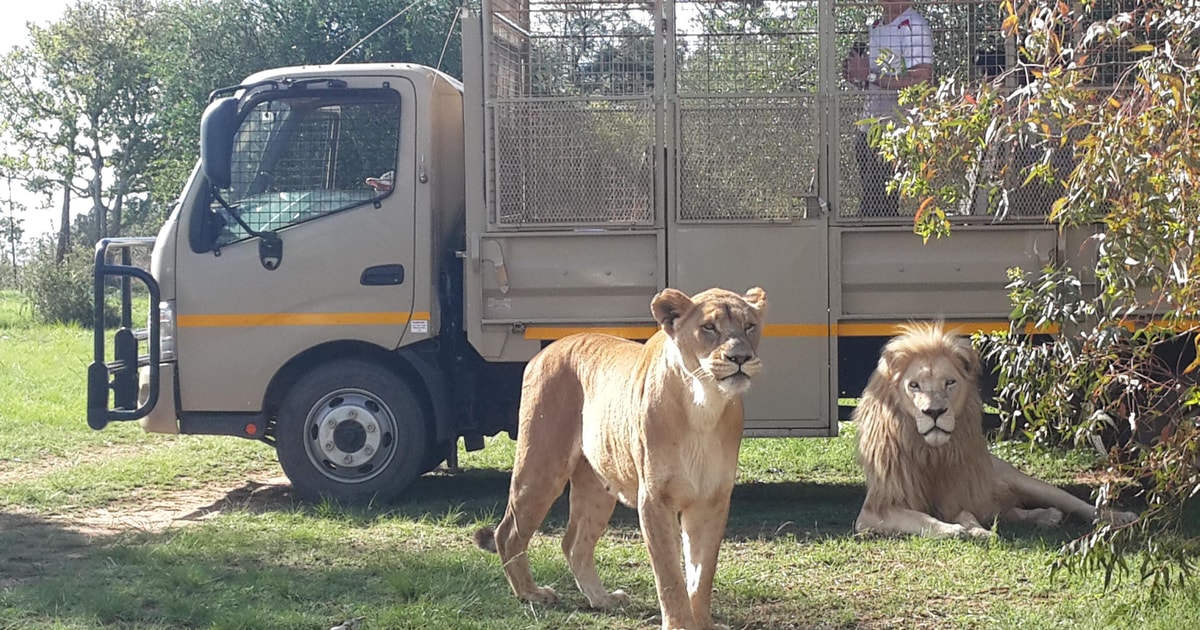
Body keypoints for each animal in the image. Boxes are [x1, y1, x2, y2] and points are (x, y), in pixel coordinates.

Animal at [470, 285, 763, 628]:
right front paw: (679, 623)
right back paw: (532, 594)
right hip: (541, 466)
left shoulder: (712, 500)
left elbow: (701, 573)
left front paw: (702, 622)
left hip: (596, 487)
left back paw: (602, 599)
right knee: (508, 532)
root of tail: (546, 350)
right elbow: (669, 575)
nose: (740, 357)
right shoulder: (654, 499)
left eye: (749, 326)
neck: (704, 403)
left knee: (574, 543)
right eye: (708, 327)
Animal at [854, 324, 1132, 535]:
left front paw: (973, 530)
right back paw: (1046, 517)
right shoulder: (873, 511)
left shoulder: (958, 495)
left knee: (1079, 505)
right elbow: (922, 518)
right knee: (1009, 511)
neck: (931, 453)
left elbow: (964, 515)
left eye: (950, 382)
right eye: (914, 385)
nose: (934, 412)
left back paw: (1119, 516)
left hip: (1028, 483)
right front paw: (958, 530)